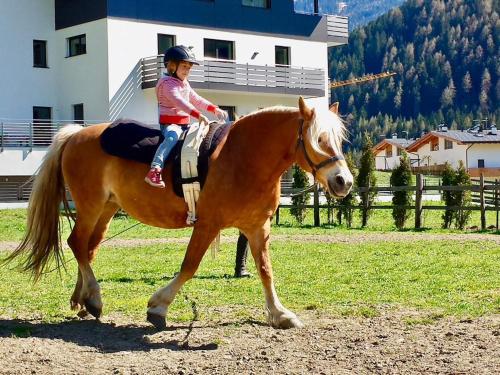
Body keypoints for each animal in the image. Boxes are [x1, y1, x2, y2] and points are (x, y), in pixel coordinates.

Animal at [6, 98, 352, 330]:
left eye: (338, 139)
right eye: (318, 139)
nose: (343, 182)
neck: (244, 156)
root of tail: (75, 135)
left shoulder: (257, 227)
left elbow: (266, 270)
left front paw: (280, 314)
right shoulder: (208, 223)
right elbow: (189, 266)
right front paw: (158, 307)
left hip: (106, 208)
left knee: (87, 248)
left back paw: (83, 300)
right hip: (91, 205)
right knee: (77, 243)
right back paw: (94, 298)